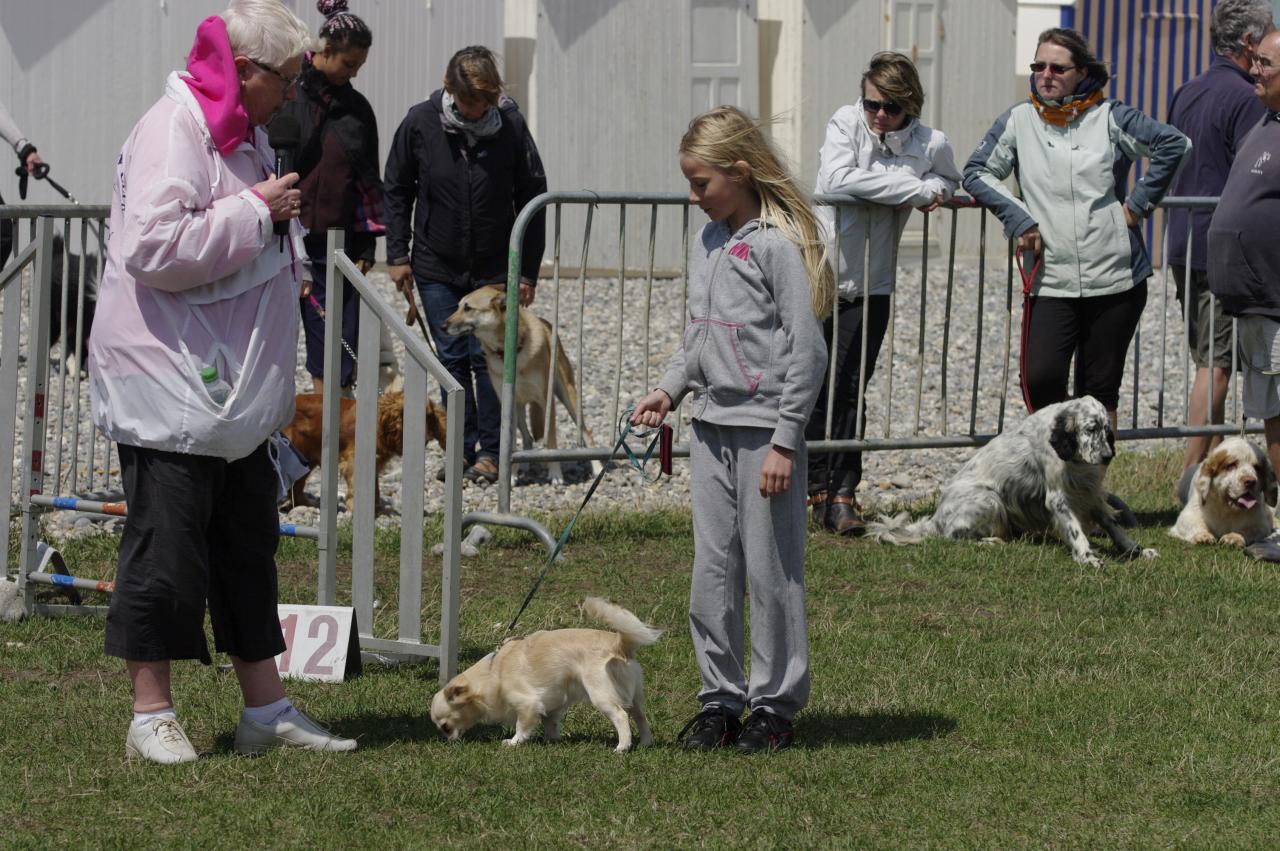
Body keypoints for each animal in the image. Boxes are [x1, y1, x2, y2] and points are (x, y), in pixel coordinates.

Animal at [430, 596, 660, 752]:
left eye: (446, 727)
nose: (449, 741)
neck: (493, 672)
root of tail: (619, 645)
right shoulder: (553, 704)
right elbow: (550, 723)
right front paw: (552, 741)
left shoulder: (528, 703)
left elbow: (522, 726)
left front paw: (513, 742)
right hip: (635, 697)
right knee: (640, 717)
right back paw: (645, 743)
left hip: (601, 695)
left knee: (621, 716)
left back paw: (622, 747)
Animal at [442, 285, 601, 481]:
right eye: (457, 307)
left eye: (468, 308)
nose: (442, 326)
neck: (509, 350)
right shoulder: (507, 405)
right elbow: (511, 446)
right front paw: (511, 475)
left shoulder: (546, 401)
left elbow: (551, 441)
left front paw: (555, 473)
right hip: (518, 408)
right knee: (527, 437)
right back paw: (524, 465)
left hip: (569, 399)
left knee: (586, 433)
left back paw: (598, 468)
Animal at [870, 396, 1162, 563]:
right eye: (1090, 429)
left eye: (1106, 429)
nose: (1107, 456)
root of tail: (936, 519)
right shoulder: (1058, 498)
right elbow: (1075, 530)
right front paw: (1087, 556)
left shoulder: (1090, 492)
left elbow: (1114, 527)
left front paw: (1137, 551)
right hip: (989, 499)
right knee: (953, 536)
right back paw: (990, 542)